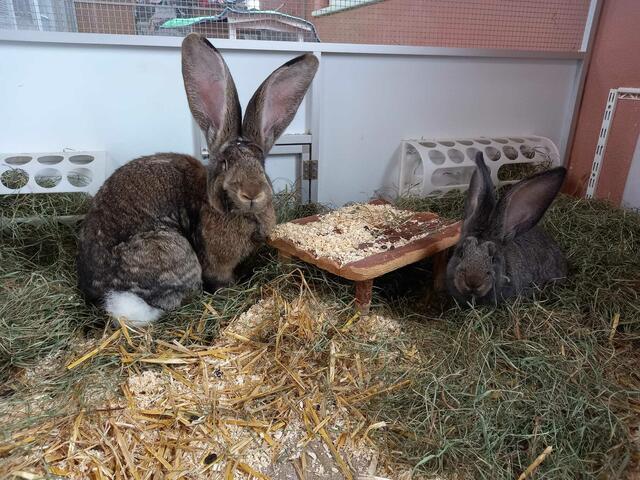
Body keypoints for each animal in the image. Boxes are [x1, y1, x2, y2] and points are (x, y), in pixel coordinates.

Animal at [77, 33, 318, 325]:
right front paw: (231, 288)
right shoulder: (217, 263)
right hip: (172, 251)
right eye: (225, 164)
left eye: (262, 165)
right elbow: (221, 278)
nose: (251, 193)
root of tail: (101, 292)